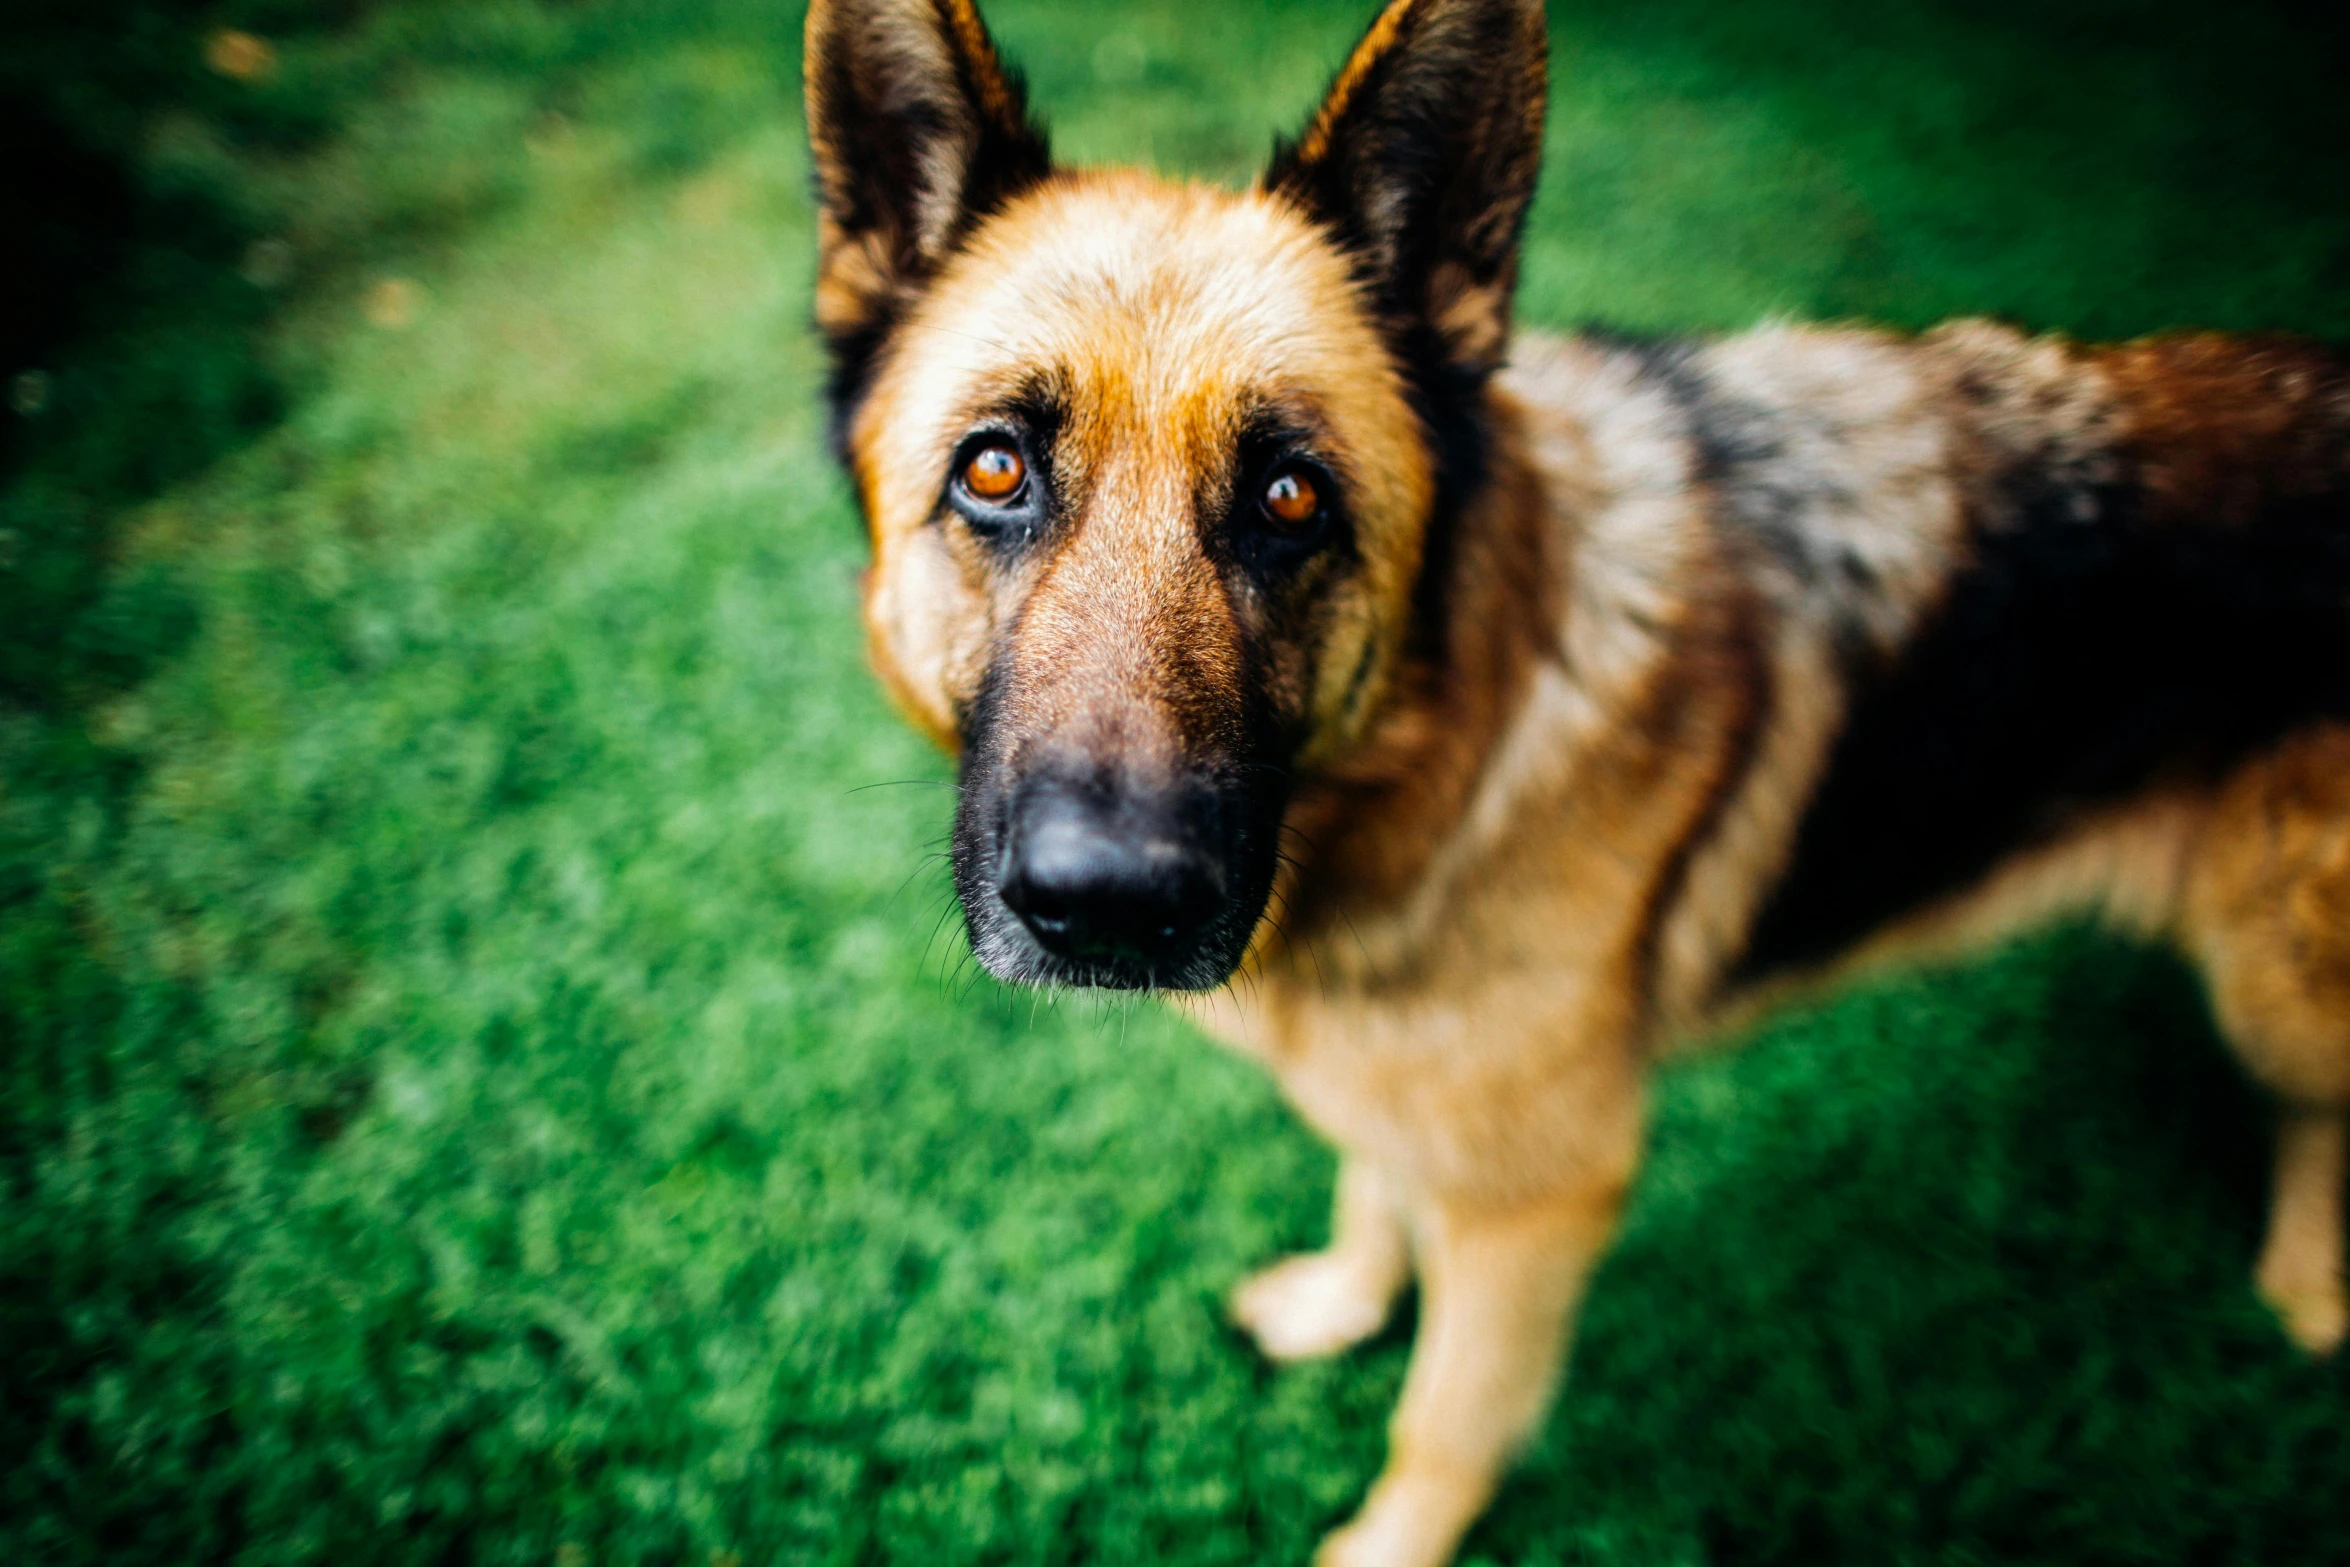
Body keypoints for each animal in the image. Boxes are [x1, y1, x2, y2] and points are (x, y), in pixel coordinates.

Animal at [803, 3, 2350, 1559]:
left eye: (1292, 497)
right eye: (993, 470)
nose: (1113, 907)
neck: (1445, 751)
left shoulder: (1539, 1205)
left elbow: (1440, 1422)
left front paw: (1385, 1539)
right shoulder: (1415, 1092)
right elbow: (1374, 1182)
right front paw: (1344, 1299)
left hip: (2277, 982)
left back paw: (2308, 1277)